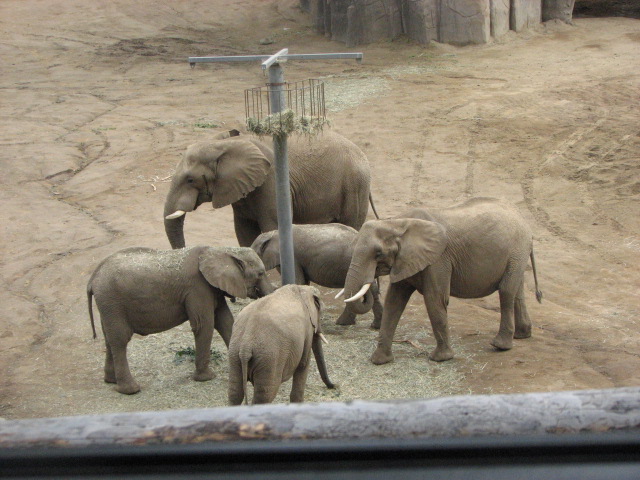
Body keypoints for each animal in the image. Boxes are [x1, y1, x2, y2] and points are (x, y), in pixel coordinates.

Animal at [87, 245, 275, 394]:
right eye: (260, 273)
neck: (221, 250)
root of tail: (93, 277)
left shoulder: (213, 288)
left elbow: (225, 321)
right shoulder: (198, 288)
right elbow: (204, 325)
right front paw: (206, 378)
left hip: (108, 305)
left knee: (109, 338)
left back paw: (110, 381)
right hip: (112, 301)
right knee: (120, 339)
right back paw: (131, 390)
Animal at [164, 129, 378, 249]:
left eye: (190, 180)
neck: (227, 143)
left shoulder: (271, 181)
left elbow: (271, 226)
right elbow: (244, 231)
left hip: (354, 186)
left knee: (351, 223)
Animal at [250, 223, 383, 328]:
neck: (273, 233)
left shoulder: (294, 258)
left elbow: (298, 281)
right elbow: (303, 283)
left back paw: (343, 323)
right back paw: (370, 325)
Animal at [340, 197, 542, 364]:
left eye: (378, 253)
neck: (397, 223)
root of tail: (523, 219)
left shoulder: (438, 259)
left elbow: (435, 299)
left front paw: (441, 359)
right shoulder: (405, 260)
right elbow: (394, 301)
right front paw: (379, 360)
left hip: (517, 249)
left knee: (506, 291)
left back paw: (500, 346)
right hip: (517, 254)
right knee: (516, 291)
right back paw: (522, 335)